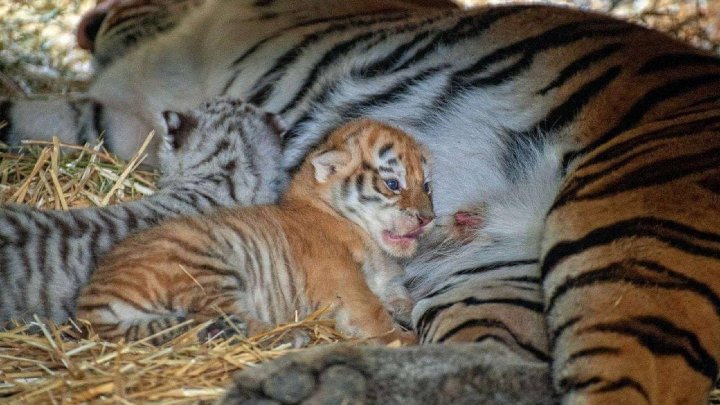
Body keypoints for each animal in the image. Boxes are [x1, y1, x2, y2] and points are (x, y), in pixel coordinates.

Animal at [1, 0, 720, 402]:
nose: (88, 25)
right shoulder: (112, 117)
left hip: (627, 238)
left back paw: (306, 381)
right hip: (493, 280)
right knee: (498, 362)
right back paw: (326, 382)